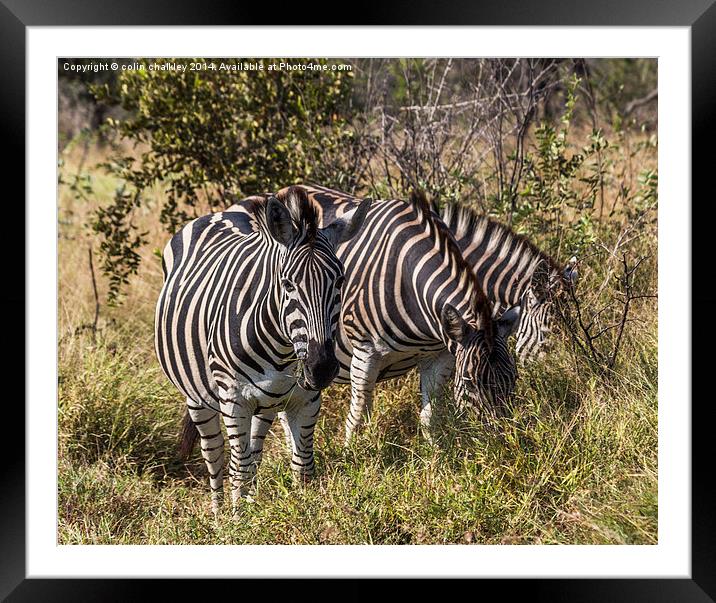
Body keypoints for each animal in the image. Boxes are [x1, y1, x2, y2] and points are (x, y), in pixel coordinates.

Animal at [155, 186, 372, 512]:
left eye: (340, 280)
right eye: (288, 284)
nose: (321, 368)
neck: (282, 348)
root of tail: (216, 214)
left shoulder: (300, 401)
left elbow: (299, 465)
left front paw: (297, 510)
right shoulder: (234, 401)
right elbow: (238, 466)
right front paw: (237, 518)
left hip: (263, 404)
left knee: (252, 451)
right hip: (196, 396)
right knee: (215, 453)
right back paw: (218, 512)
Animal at [276, 184, 520, 444]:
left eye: (514, 378)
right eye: (469, 383)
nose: (502, 441)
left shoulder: (440, 356)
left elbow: (430, 417)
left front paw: (434, 451)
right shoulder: (365, 353)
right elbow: (357, 418)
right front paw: (351, 452)